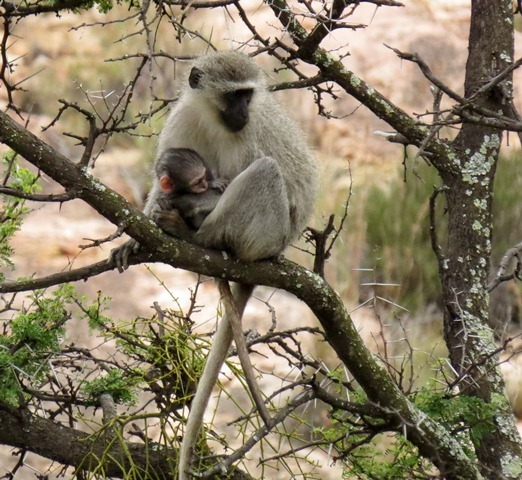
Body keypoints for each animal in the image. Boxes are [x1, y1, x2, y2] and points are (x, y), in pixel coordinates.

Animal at [110, 50, 316, 478]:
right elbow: (165, 173)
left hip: (268, 232)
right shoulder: (184, 118)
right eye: (233, 96)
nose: (243, 113)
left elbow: (248, 176)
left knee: (264, 172)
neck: (216, 119)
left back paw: (198, 238)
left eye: (247, 96)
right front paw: (136, 235)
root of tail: (278, 250)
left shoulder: (253, 134)